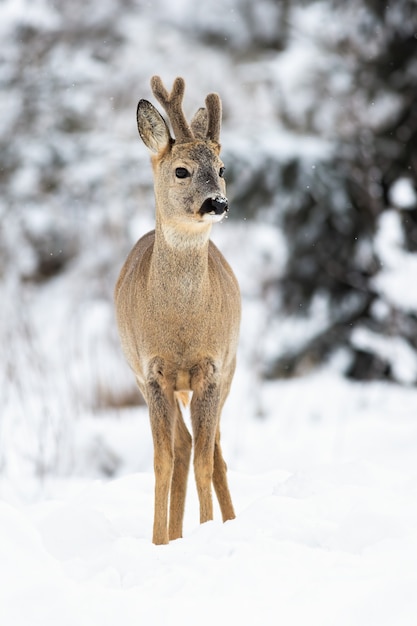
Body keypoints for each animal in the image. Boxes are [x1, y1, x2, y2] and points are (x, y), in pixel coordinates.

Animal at [114, 75, 240, 544]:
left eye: (222, 169)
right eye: (181, 170)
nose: (217, 203)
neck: (181, 327)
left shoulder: (211, 367)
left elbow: (206, 460)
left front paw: (207, 529)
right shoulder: (151, 371)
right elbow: (162, 461)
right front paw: (159, 541)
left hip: (231, 369)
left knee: (214, 451)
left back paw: (228, 522)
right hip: (143, 377)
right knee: (184, 446)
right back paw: (176, 534)